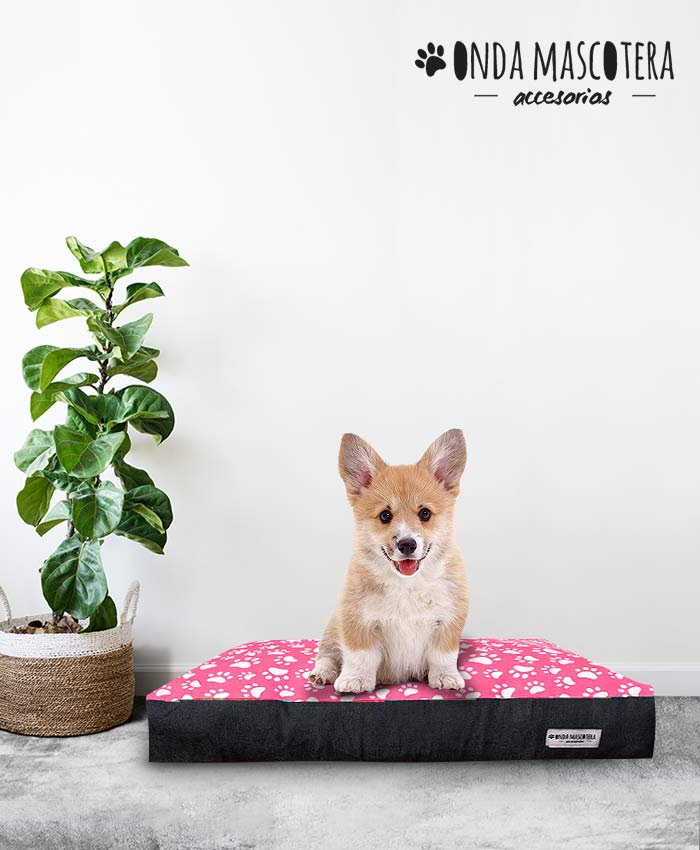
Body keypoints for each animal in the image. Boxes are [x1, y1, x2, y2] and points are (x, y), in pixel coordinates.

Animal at [310, 428, 464, 692]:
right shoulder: (356, 620)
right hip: (332, 627)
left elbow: (442, 656)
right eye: (385, 515)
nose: (407, 544)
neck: (406, 584)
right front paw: (354, 680)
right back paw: (322, 674)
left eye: (425, 513)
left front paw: (445, 677)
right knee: (328, 654)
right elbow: (359, 656)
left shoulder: (448, 621)